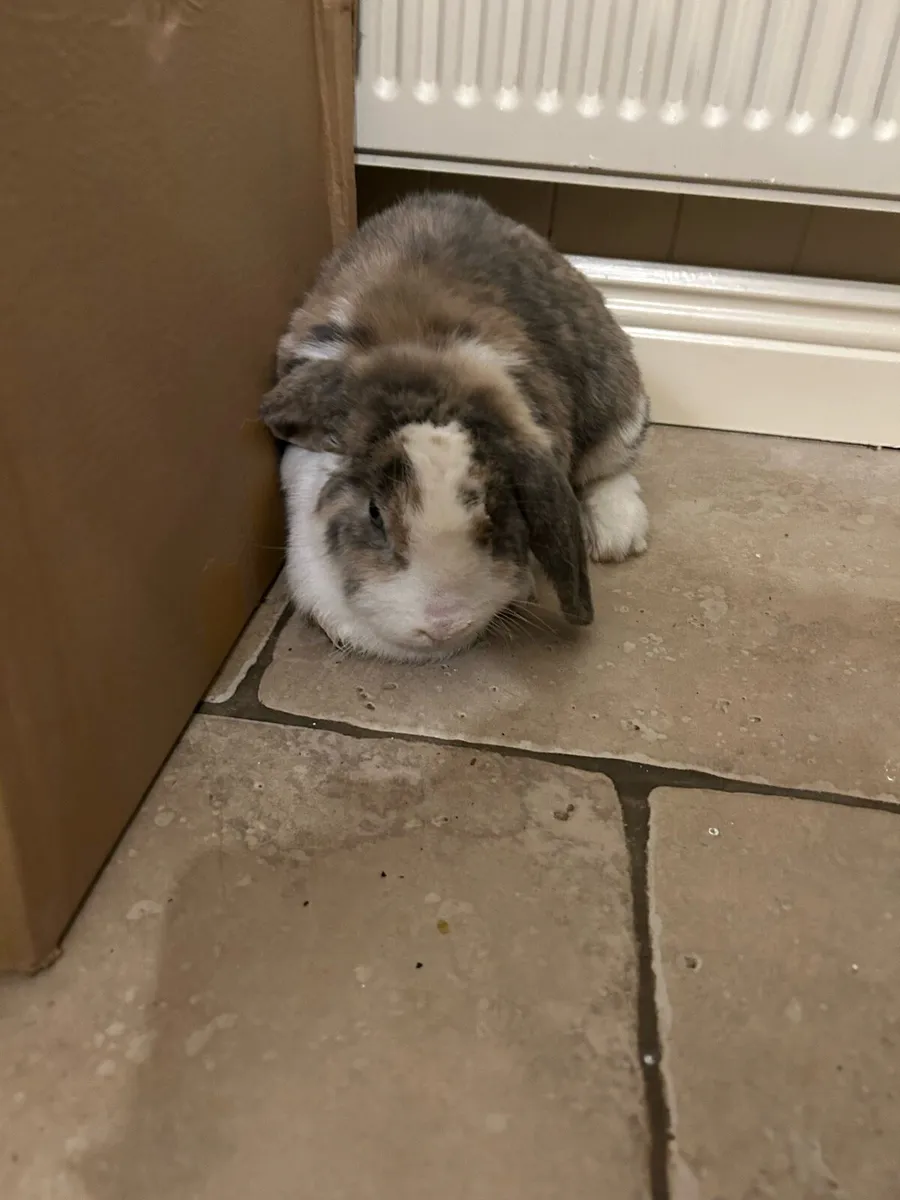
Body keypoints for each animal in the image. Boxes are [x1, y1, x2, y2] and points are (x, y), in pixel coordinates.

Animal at [261, 191, 650, 663]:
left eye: (497, 510)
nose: (442, 626)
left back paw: (617, 536)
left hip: (617, 404)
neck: (427, 366)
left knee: (610, 468)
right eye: (374, 514)